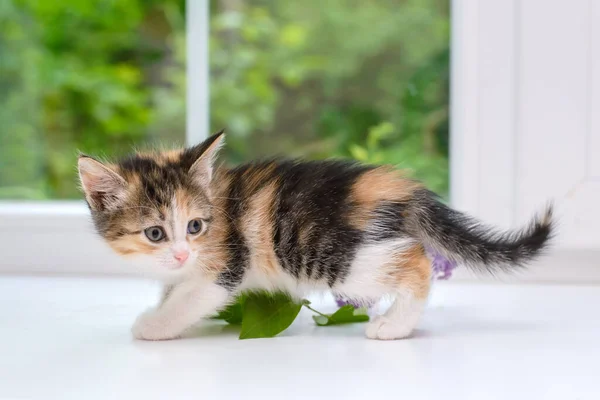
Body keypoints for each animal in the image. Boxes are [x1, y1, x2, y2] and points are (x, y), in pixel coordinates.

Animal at [78, 131, 552, 340]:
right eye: (155, 233)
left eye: (195, 226)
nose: (180, 254)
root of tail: (390, 185)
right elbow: (173, 288)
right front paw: (160, 303)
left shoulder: (228, 261)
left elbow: (193, 297)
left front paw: (155, 325)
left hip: (327, 253)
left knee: (416, 261)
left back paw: (394, 325)